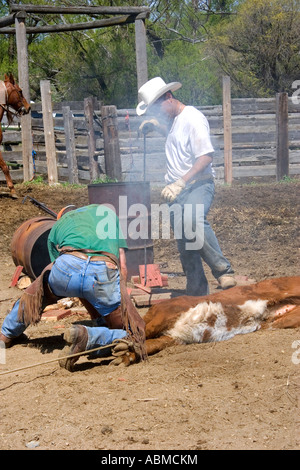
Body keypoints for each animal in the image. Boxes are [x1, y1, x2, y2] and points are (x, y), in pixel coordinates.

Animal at [112, 276, 300, 368]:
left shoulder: (168, 323)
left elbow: (145, 338)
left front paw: (123, 351)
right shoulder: (172, 331)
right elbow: (146, 340)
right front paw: (124, 354)